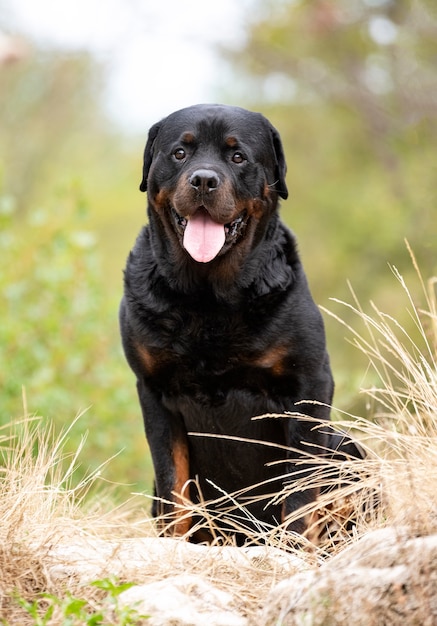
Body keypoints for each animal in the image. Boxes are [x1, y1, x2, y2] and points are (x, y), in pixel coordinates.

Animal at [120, 103, 362, 540]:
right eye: (179, 153)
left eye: (237, 157)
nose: (203, 179)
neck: (208, 297)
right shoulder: (154, 390)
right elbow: (173, 484)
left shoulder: (308, 384)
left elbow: (300, 492)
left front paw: (293, 546)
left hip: (346, 448)